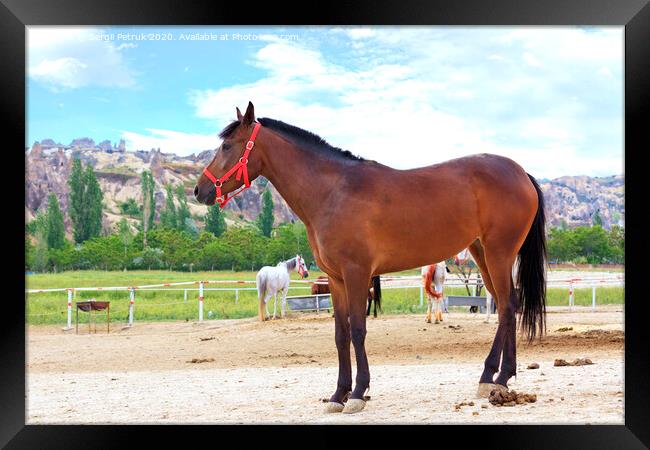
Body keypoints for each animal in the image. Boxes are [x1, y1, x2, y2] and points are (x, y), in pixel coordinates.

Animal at [195, 103, 544, 414]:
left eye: (227, 145)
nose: (200, 191)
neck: (333, 191)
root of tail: (521, 173)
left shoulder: (357, 273)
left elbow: (359, 330)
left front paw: (358, 393)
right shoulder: (336, 279)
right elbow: (341, 334)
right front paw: (338, 394)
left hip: (499, 253)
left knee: (507, 306)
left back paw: (497, 376)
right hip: (482, 254)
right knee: (508, 304)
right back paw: (496, 378)